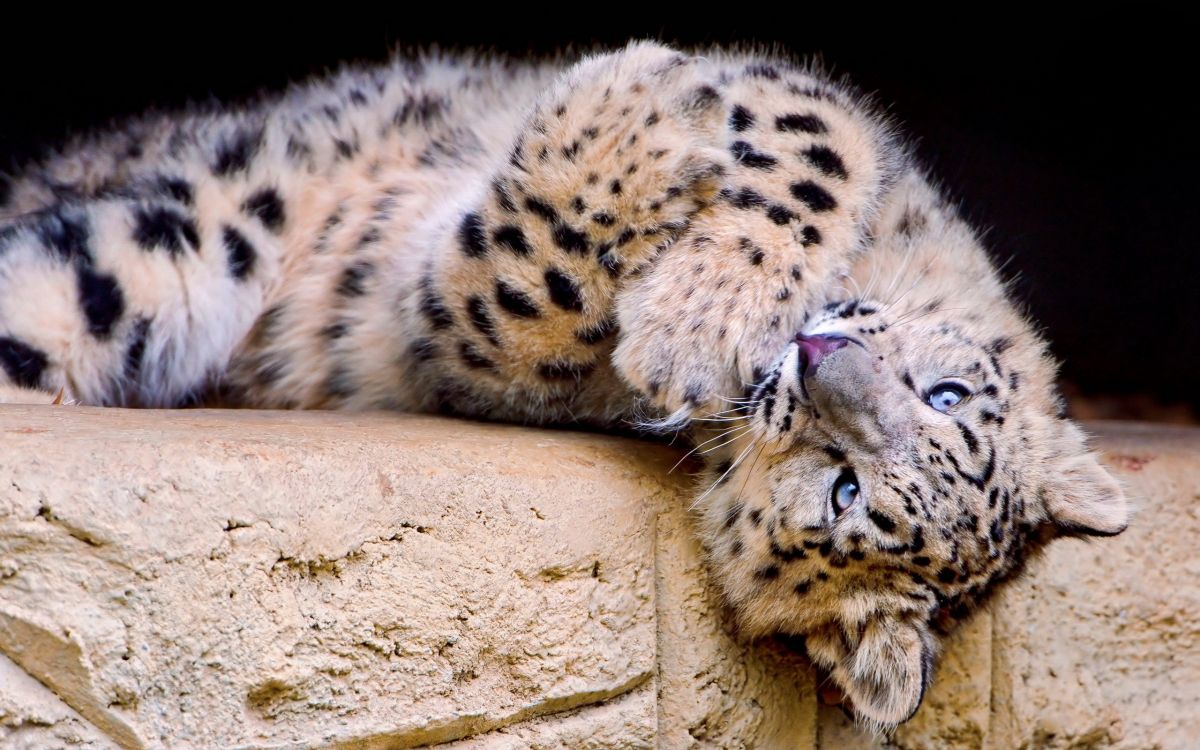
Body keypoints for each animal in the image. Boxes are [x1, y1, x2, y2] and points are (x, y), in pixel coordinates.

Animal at [0, 40, 1128, 728]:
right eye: (946, 396)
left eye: (843, 487)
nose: (818, 360)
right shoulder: (818, 110)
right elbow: (810, 142)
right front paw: (694, 260)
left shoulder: (458, 339)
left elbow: (516, 282)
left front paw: (670, 302)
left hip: (158, 256)